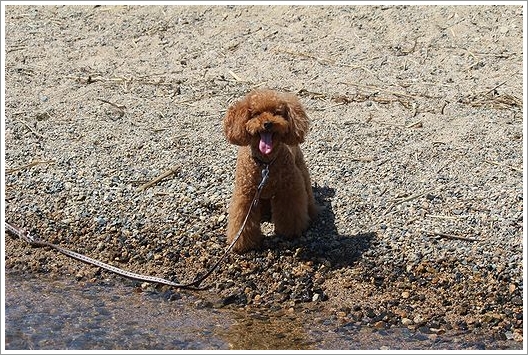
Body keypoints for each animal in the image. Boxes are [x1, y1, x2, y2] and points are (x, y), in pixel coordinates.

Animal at [223, 90, 318, 254]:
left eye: (277, 113)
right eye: (256, 114)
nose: (267, 124)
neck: (265, 164)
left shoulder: (288, 190)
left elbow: (291, 213)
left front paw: (290, 231)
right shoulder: (245, 195)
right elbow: (241, 220)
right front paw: (243, 243)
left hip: (302, 171)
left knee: (308, 194)